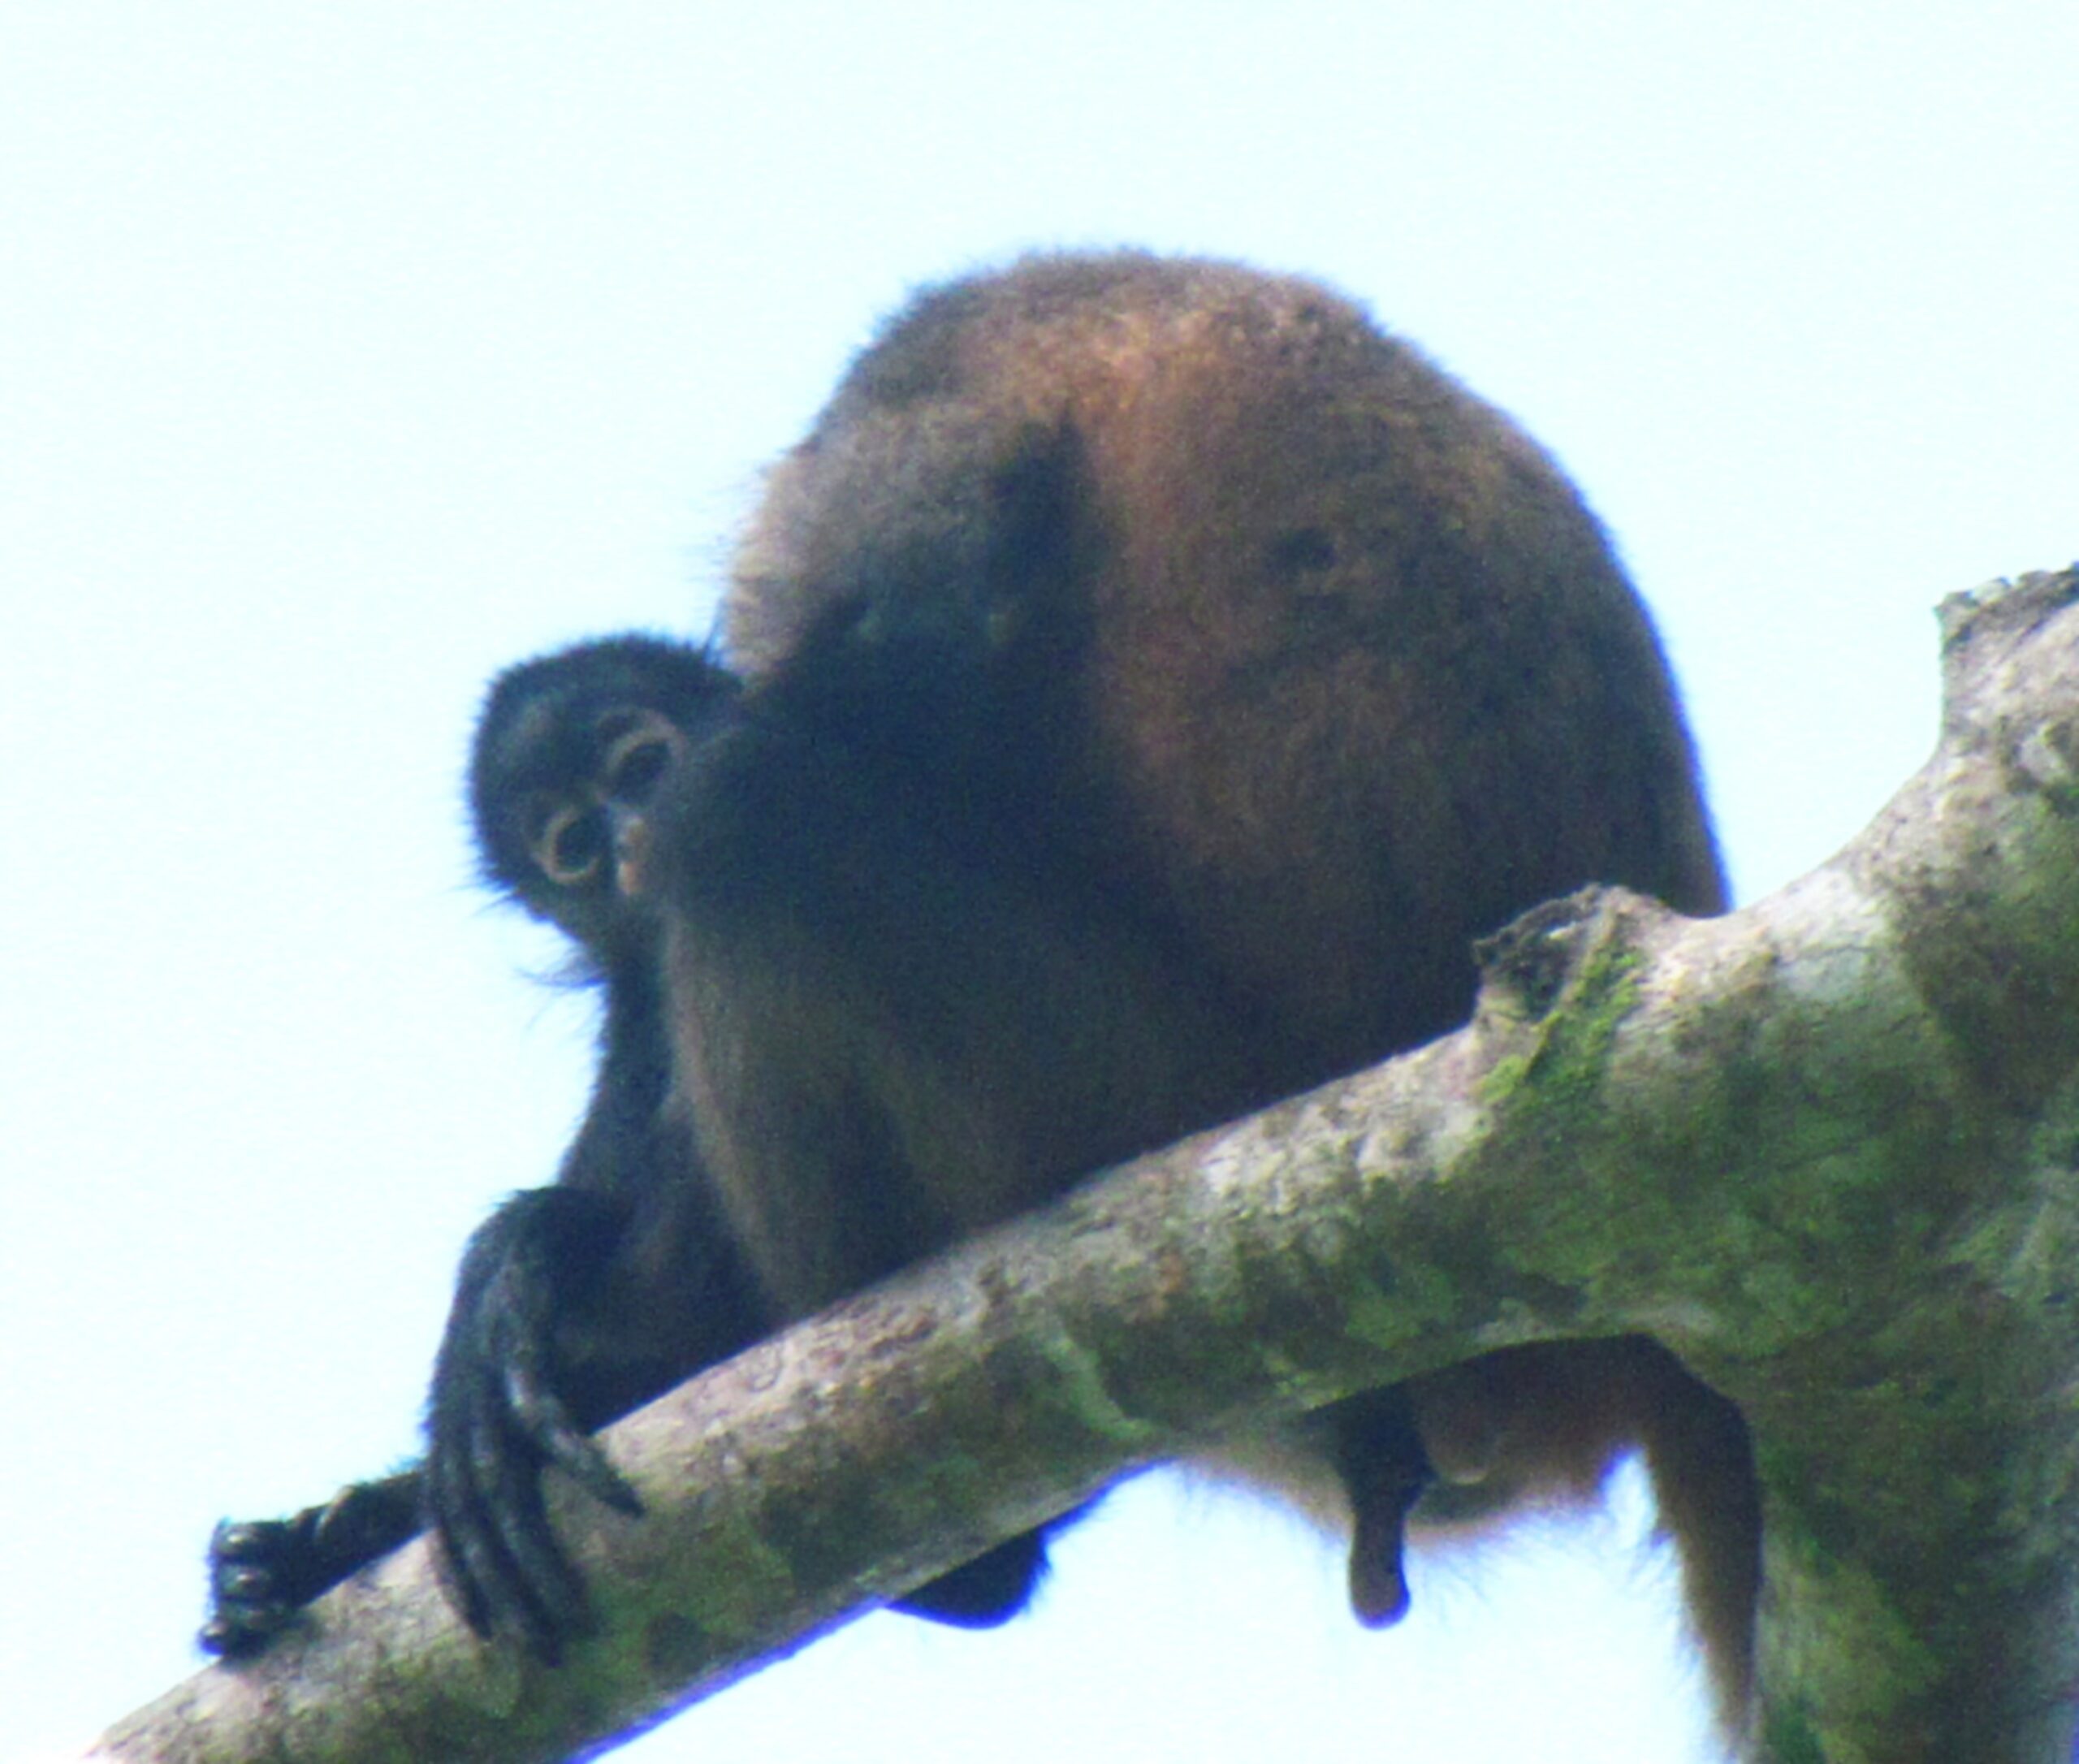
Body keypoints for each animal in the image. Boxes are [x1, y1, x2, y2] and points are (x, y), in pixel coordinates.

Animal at [202, 254, 1754, 1731]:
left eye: (632, 767)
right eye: (572, 847)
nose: (626, 844)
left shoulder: (918, 395)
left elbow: (921, 641)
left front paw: (525, 1286)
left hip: (1129, 1079)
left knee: (752, 806)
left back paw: (955, 1559)